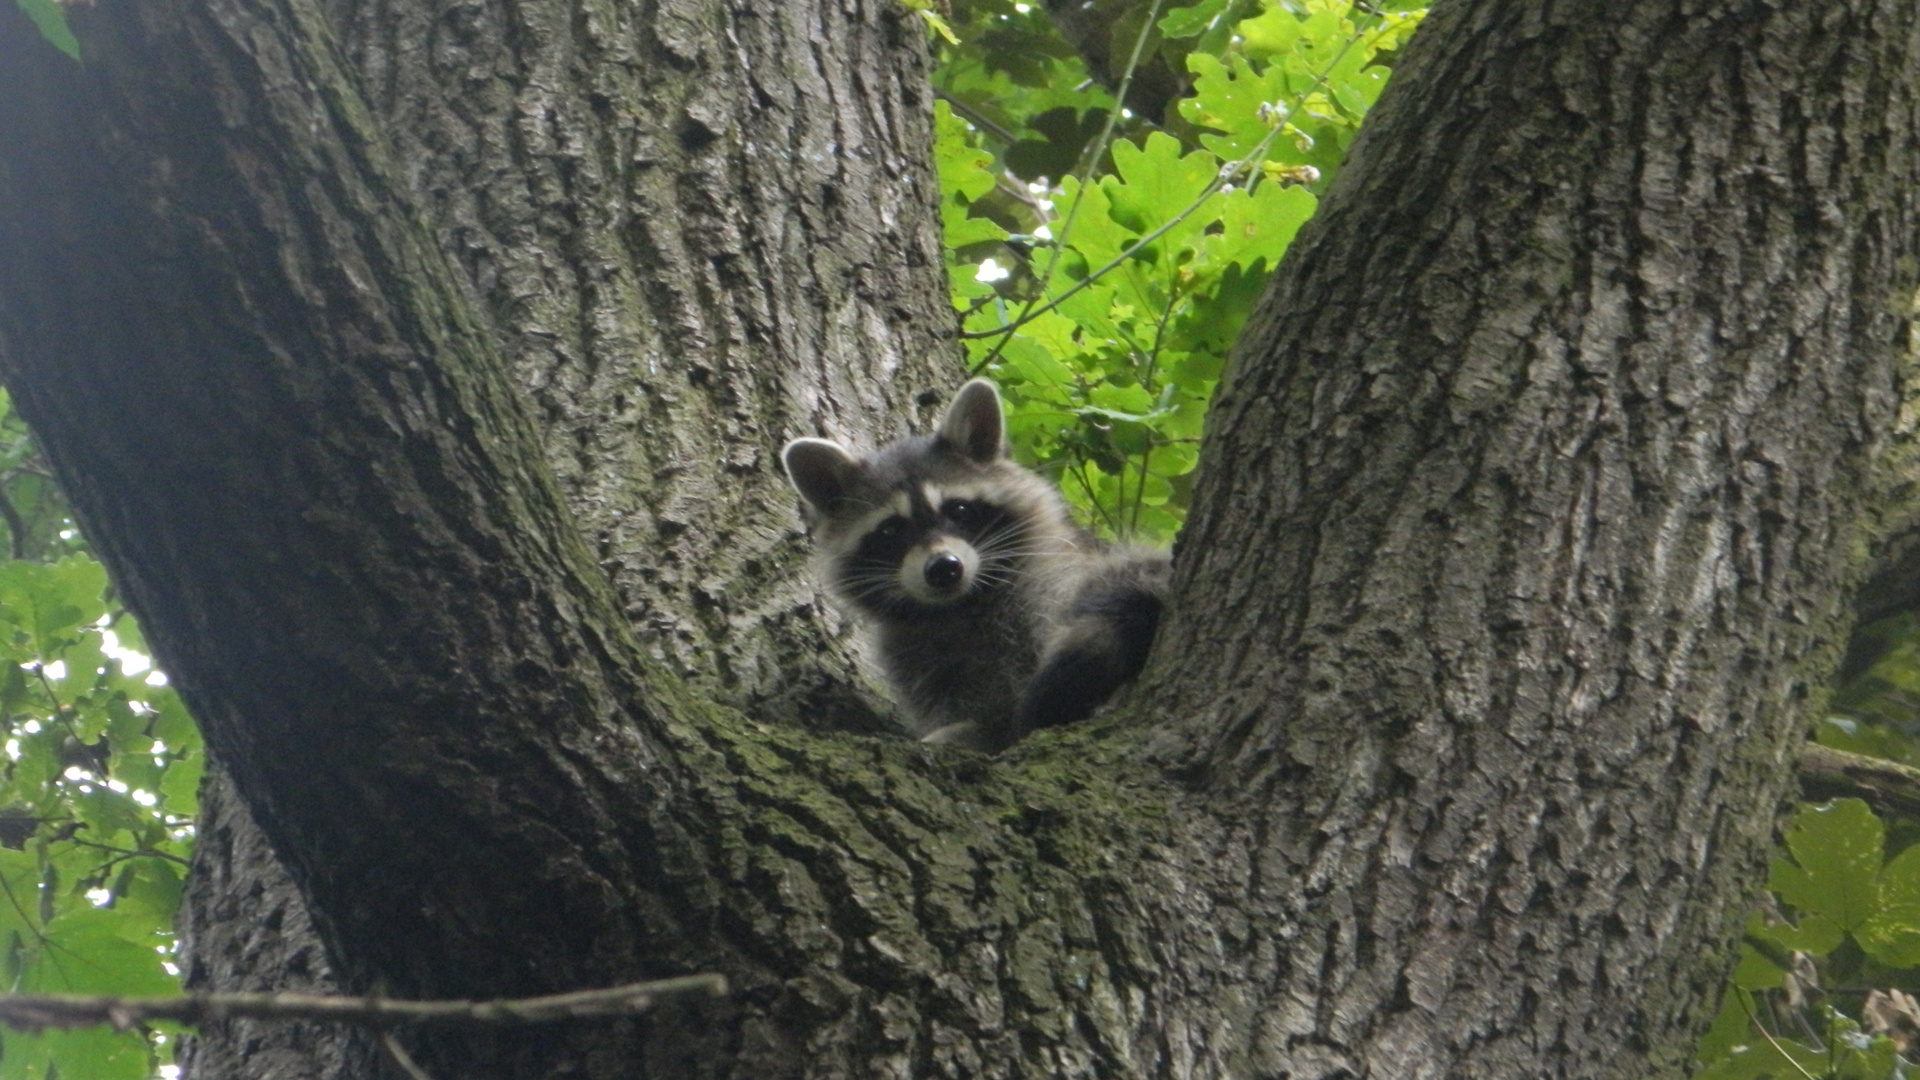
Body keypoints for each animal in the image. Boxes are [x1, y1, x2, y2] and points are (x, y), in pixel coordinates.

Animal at [779, 378, 1167, 749]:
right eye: (890, 530)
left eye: (960, 509)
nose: (944, 569)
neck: (961, 604)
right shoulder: (922, 661)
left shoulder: (1053, 580)